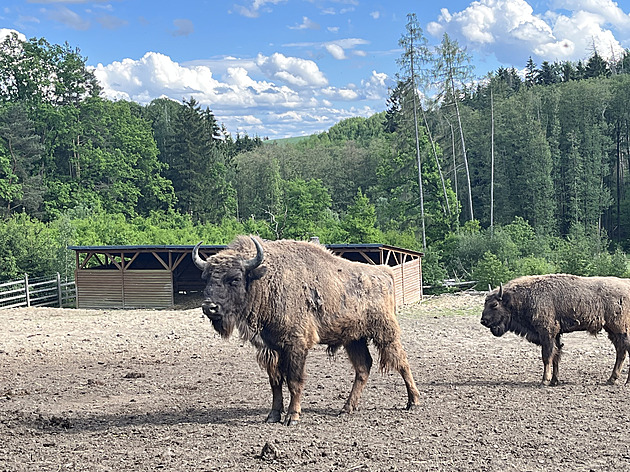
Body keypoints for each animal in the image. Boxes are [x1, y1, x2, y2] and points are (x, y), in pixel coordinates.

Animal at [193, 236, 420, 424]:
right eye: (206, 277)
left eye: (235, 278)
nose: (209, 307)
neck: (266, 280)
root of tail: (384, 272)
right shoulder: (271, 348)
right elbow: (275, 382)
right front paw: (273, 416)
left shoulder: (296, 345)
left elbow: (294, 381)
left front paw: (292, 417)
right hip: (354, 339)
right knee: (363, 368)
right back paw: (346, 408)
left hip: (385, 333)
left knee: (402, 361)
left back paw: (413, 401)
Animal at [484, 272, 630, 388]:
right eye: (485, 303)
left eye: (494, 304)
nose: (483, 320)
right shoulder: (556, 335)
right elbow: (556, 355)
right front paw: (554, 381)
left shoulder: (547, 333)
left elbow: (547, 356)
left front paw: (544, 381)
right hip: (612, 331)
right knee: (621, 352)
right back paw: (611, 380)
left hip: (619, 328)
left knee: (624, 350)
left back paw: (624, 381)